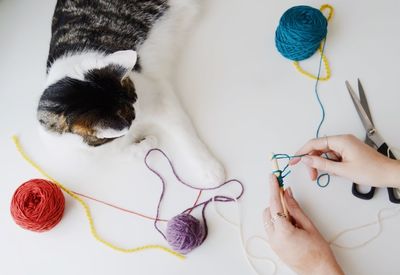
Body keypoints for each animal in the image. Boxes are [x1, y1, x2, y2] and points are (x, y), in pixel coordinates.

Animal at [36, 0, 225, 188]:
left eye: (135, 95)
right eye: (131, 115)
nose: (139, 112)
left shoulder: (160, 97)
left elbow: (184, 134)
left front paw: (211, 170)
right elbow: (122, 154)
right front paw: (147, 142)